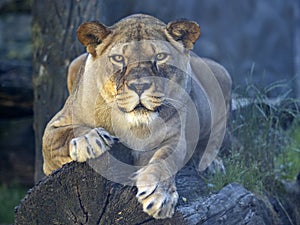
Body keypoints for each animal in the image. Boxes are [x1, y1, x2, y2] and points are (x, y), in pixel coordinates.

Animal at [41, 13, 232, 219]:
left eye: (160, 56)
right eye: (118, 58)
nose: (139, 86)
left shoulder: (174, 138)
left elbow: (165, 160)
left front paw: (160, 195)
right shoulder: (51, 136)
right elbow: (62, 136)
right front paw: (90, 140)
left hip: (222, 75)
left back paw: (212, 165)